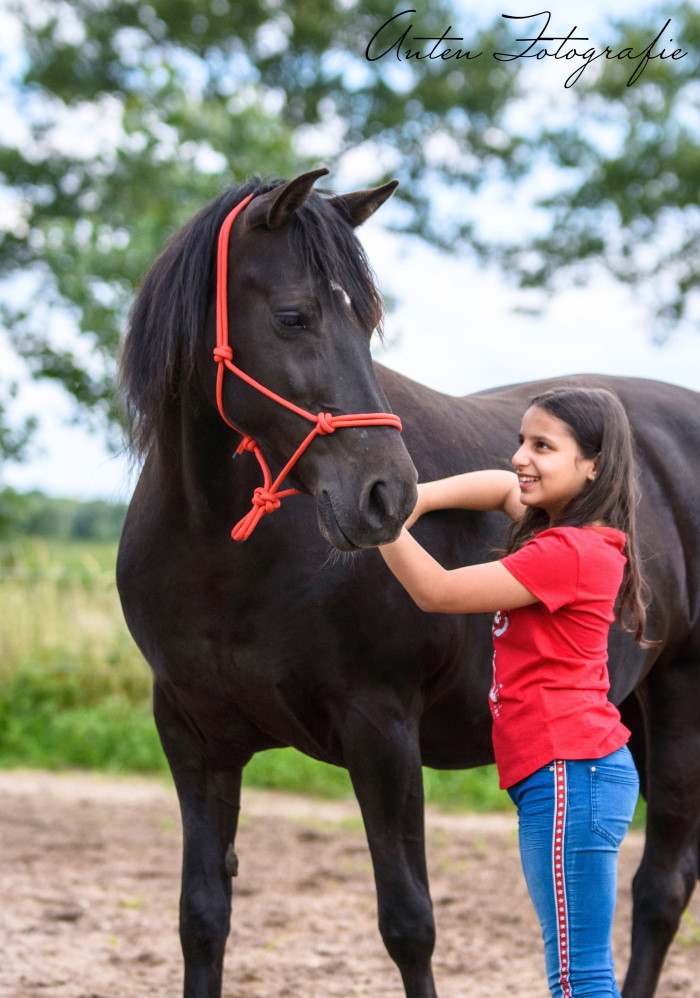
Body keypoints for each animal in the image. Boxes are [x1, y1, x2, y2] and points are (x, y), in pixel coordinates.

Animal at [117, 168, 700, 998]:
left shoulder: (383, 733)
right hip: (634, 712)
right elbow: (202, 918)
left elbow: (408, 923)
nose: (386, 496)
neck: (222, 557)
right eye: (293, 317)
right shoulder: (192, 737)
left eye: (367, 324)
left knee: (659, 889)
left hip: (683, 702)